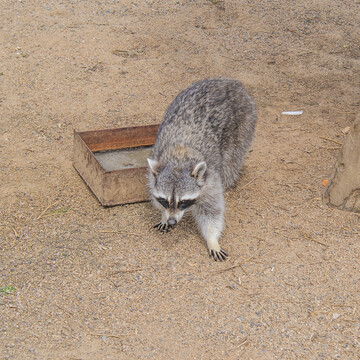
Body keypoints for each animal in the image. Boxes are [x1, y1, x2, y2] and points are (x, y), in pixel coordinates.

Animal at [146, 77, 256, 260]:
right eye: (165, 200)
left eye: (183, 202)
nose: (172, 221)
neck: (179, 157)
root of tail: (229, 81)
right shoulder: (154, 168)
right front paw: (163, 214)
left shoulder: (210, 181)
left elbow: (212, 212)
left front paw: (212, 239)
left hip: (244, 122)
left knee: (231, 162)